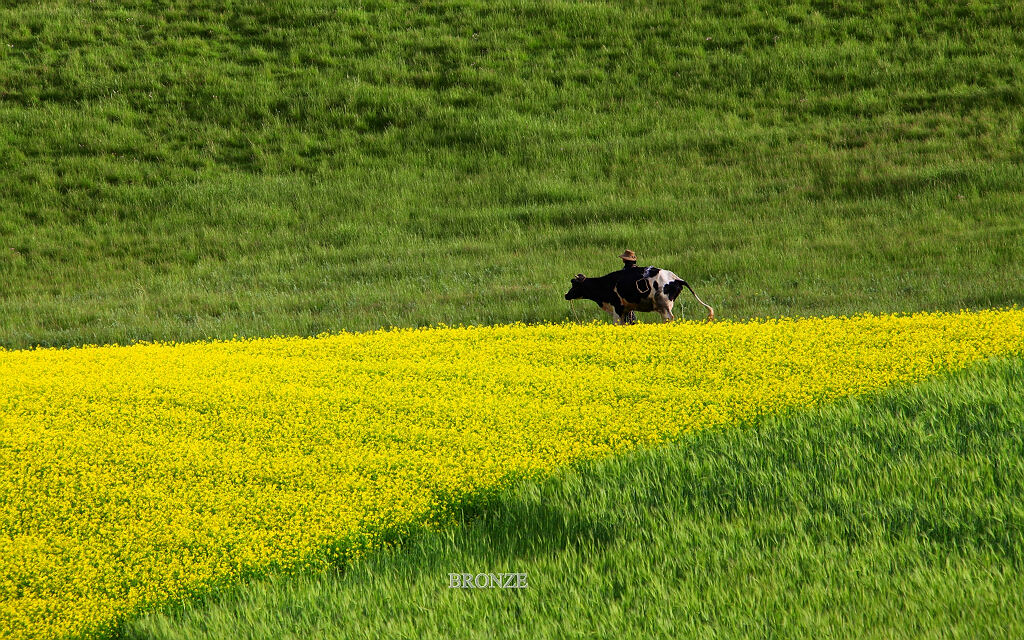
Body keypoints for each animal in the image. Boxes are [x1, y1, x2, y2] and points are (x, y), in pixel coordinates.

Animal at [565, 264, 716, 323]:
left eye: (574, 284)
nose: (566, 295)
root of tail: (676, 278)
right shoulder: (626, 309)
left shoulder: (617, 307)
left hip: (664, 304)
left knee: (669, 318)